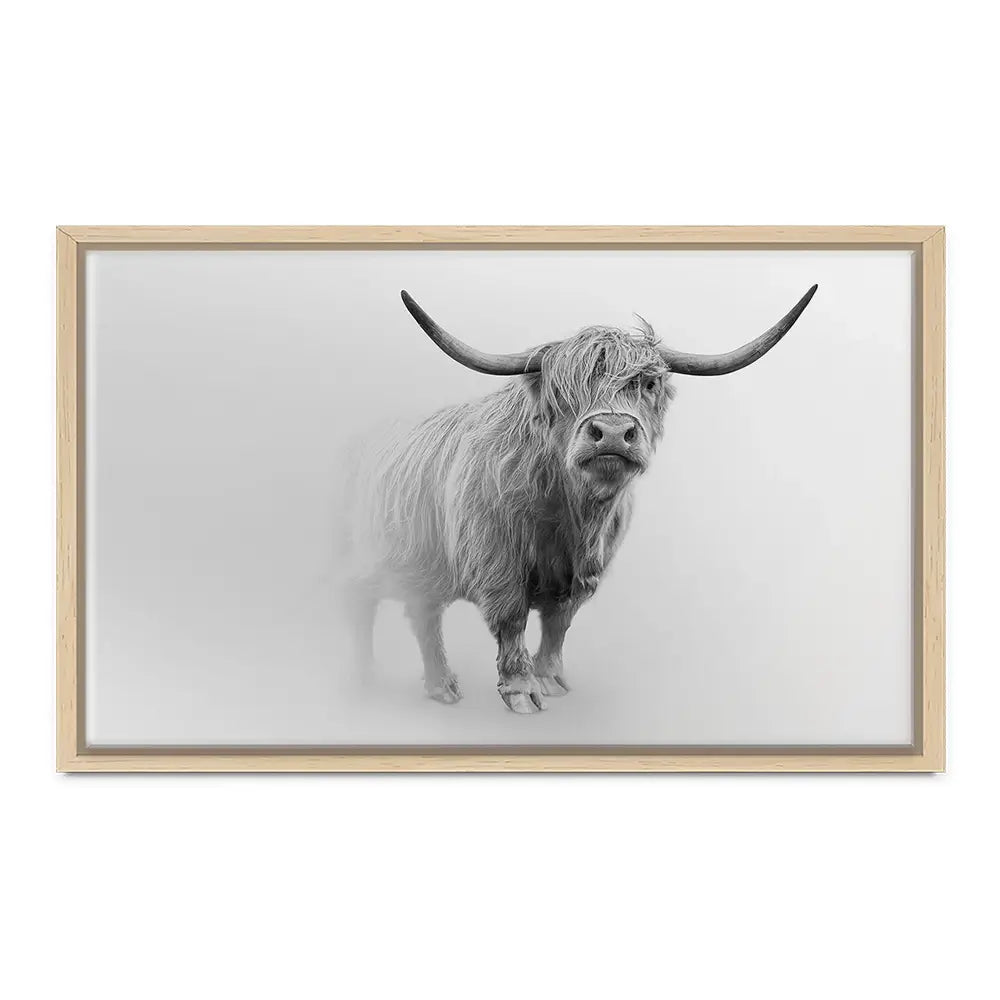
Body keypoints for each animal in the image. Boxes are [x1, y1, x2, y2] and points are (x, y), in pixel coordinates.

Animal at [339, 284, 818, 713]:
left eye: (647, 384)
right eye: (561, 390)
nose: (612, 432)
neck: (569, 512)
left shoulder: (585, 570)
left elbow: (558, 622)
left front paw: (550, 679)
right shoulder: (496, 561)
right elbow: (512, 619)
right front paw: (521, 691)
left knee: (423, 615)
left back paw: (441, 687)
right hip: (368, 558)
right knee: (361, 603)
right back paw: (362, 677)